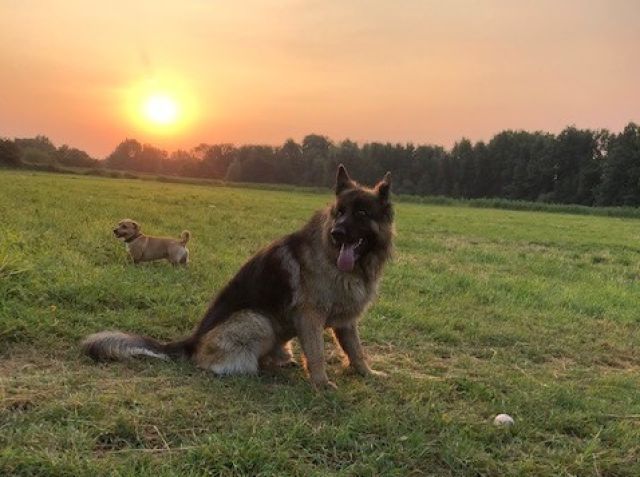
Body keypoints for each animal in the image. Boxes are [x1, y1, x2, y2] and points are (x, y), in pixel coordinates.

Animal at [82, 165, 392, 388]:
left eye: (361, 213)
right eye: (339, 213)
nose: (337, 234)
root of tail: (192, 341)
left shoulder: (347, 322)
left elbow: (356, 350)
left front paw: (367, 373)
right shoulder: (310, 317)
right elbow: (316, 354)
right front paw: (322, 385)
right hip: (260, 321)